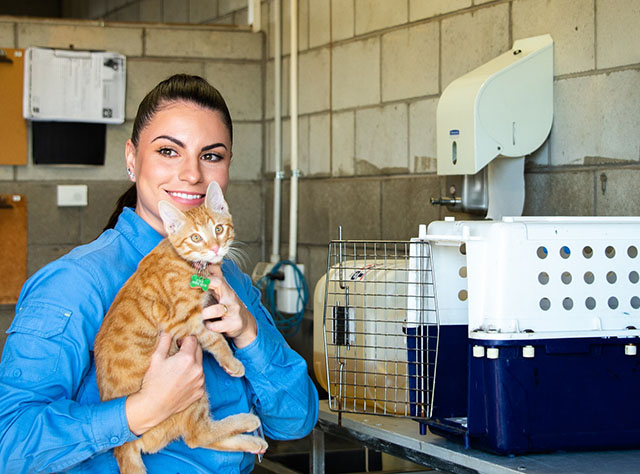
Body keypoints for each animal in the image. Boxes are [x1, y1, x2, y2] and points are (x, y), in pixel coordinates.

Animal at [93, 182, 268, 474]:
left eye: (218, 229)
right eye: (196, 238)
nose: (215, 248)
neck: (187, 264)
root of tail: (123, 445)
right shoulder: (182, 322)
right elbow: (215, 339)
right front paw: (232, 362)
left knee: (197, 439)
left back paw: (251, 440)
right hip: (189, 394)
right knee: (198, 435)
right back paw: (246, 423)